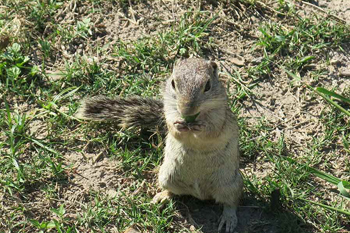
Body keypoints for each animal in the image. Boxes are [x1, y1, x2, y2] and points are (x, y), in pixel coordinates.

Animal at [75, 57, 242, 232]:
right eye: (173, 83)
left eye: (208, 85)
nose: (186, 110)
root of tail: (200, 194)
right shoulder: (168, 109)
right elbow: (172, 127)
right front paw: (178, 125)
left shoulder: (220, 115)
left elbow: (212, 130)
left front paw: (201, 126)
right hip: (167, 177)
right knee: (174, 192)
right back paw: (162, 197)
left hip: (230, 185)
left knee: (231, 202)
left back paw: (229, 219)